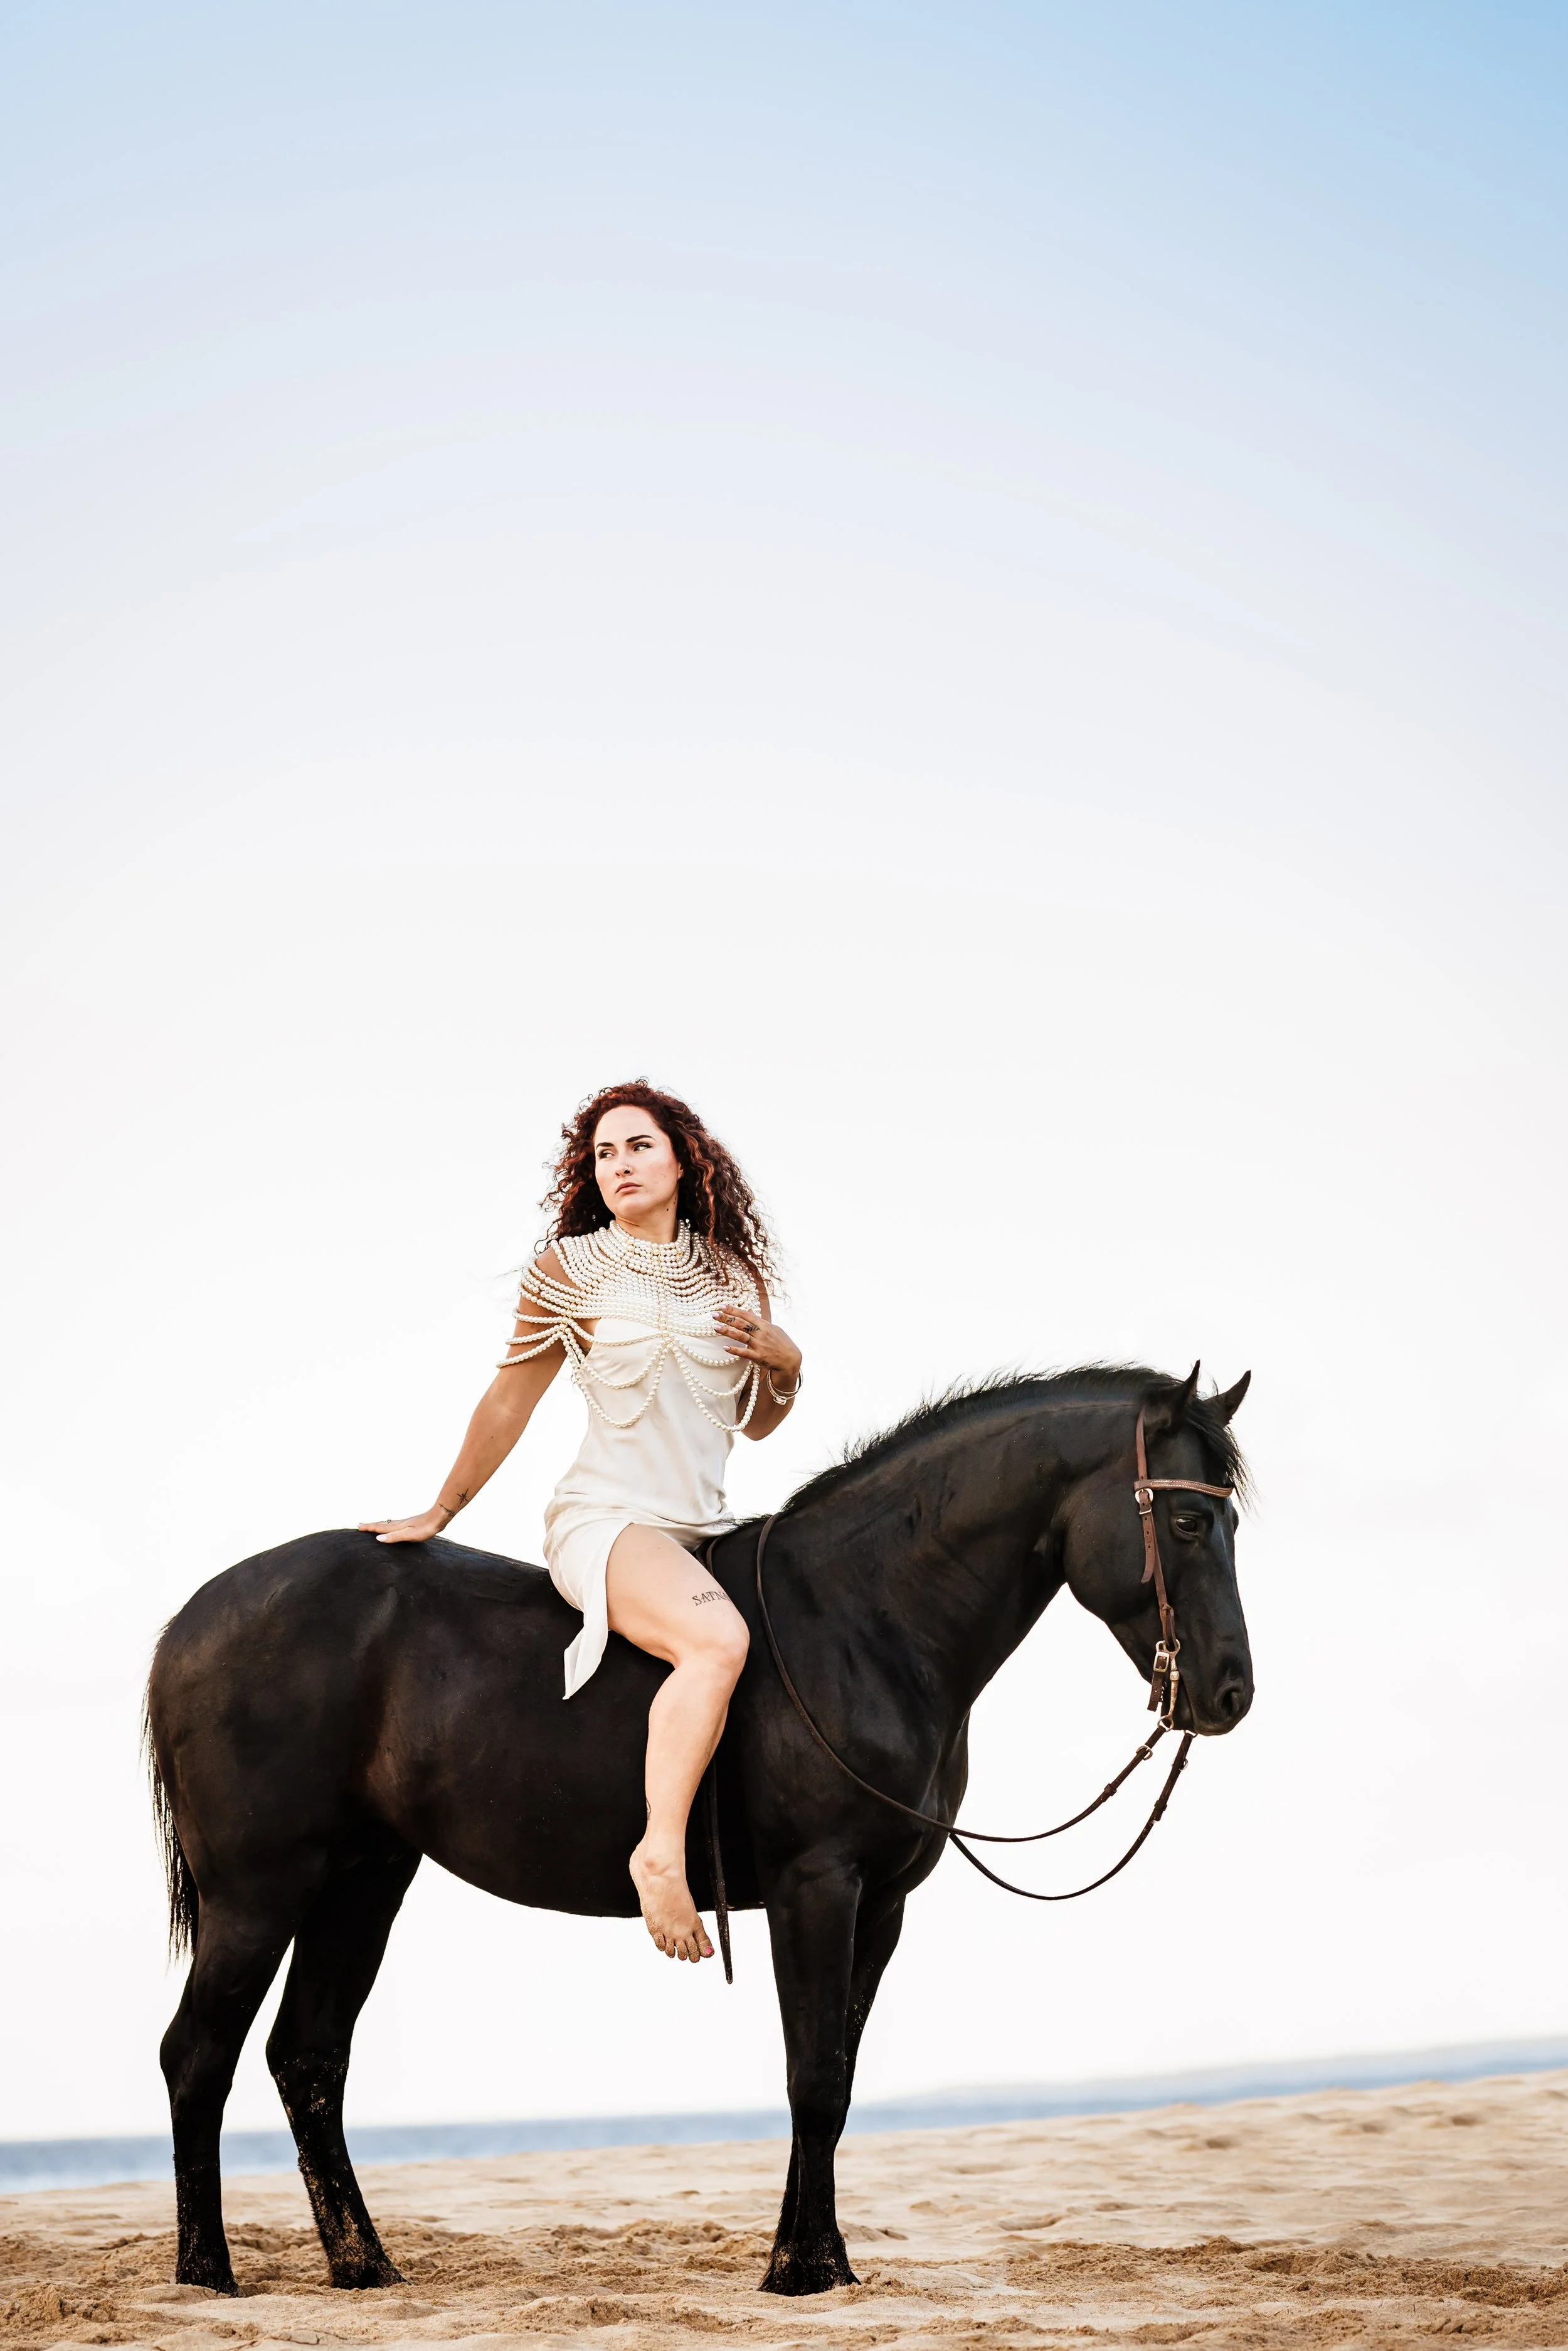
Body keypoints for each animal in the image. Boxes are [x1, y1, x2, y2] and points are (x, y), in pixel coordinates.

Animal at [145, 1361, 1252, 2300]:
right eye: (1189, 1520)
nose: (1230, 1693)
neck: (865, 1621)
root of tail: (194, 1616)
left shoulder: (883, 1905)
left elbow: (838, 2076)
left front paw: (814, 2259)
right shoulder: (819, 1886)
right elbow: (814, 2077)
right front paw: (805, 2273)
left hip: (362, 1883)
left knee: (308, 2061)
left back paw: (365, 2267)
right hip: (259, 1894)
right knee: (197, 2056)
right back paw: (207, 2275)